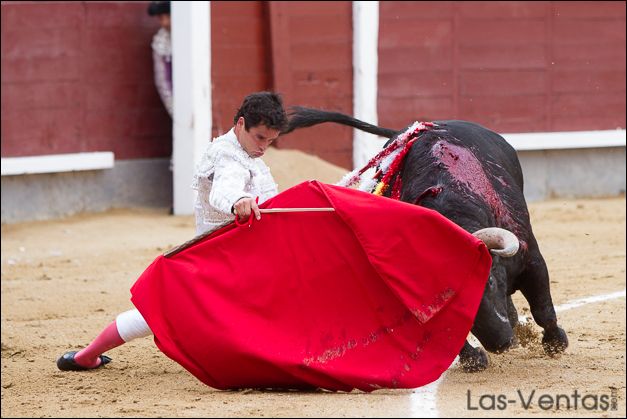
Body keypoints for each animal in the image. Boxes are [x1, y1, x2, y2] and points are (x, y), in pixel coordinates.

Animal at [284, 107, 568, 370]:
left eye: (488, 282)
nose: (501, 343)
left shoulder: (531, 257)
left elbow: (543, 308)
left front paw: (556, 343)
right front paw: (473, 359)